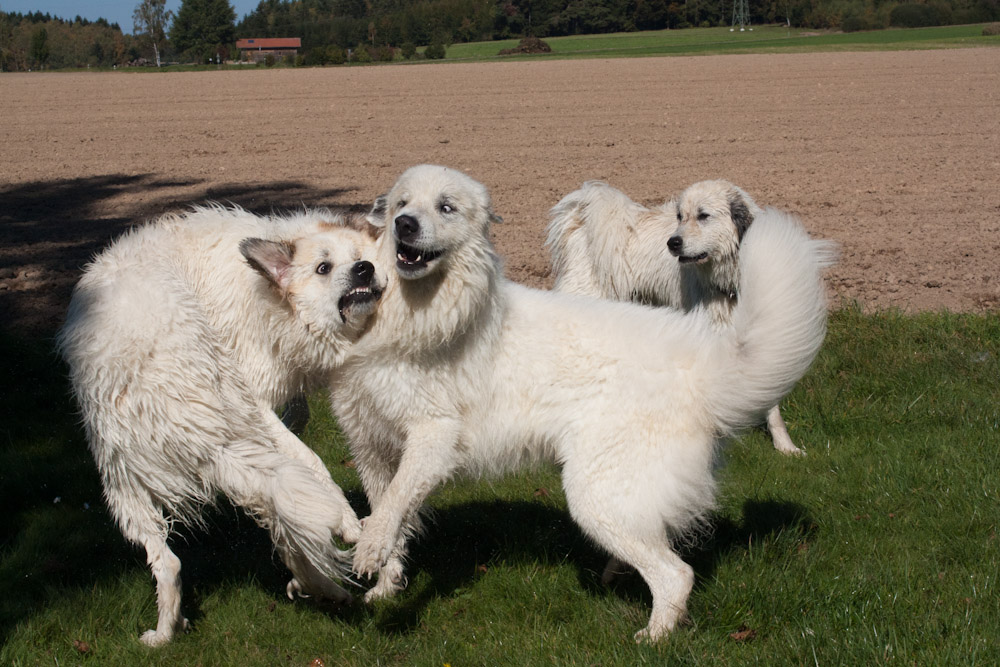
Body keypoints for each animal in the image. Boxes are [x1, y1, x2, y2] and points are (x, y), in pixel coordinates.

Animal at [55, 205, 382, 648]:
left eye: (363, 258)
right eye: (323, 268)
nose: (365, 269)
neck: (269, 296)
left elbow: (298, 421)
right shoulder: (255, 388)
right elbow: (307, 455)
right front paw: (344, 517)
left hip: (124, 484)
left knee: (173, 561)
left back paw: (169, 630)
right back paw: (333, 551)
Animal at [548, 177, 804, 456]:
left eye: (703, 216)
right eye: (680, 216)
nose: (673, 243)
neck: (729, 284)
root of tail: (582, 218)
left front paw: (785, 446)